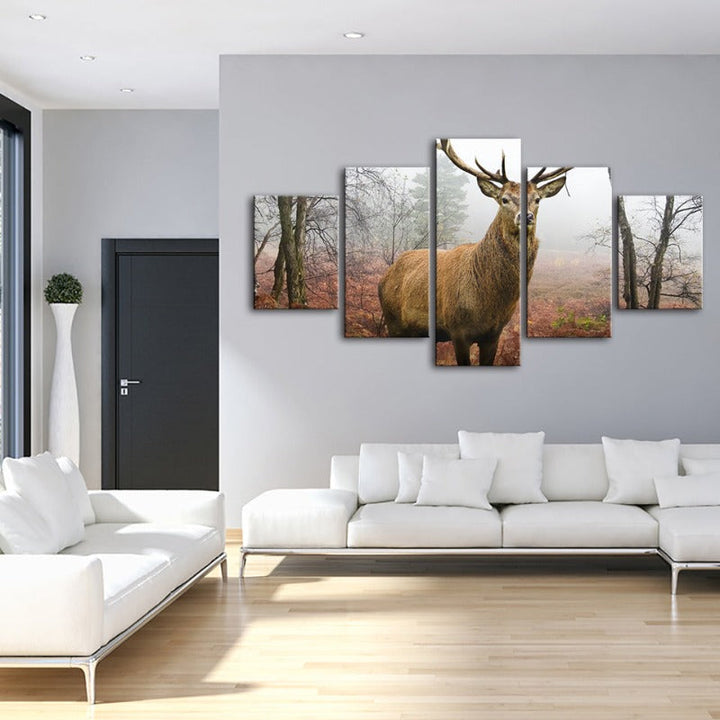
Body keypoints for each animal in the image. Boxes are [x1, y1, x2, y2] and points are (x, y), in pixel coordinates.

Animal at [378, 140, 570, 365]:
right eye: (504, 199)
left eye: (537, 199)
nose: (527, 217)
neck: (489, 302)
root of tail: (385, 276)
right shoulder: (457, 330)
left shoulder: (494, 334)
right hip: (393, 322)